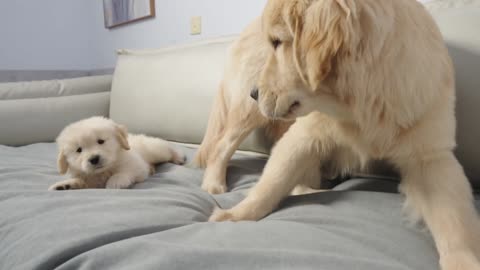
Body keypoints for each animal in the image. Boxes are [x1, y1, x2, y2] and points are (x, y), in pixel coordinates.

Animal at [48, 116, 184, 190]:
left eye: (101, 141)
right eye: (79, 150)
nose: (94, 159)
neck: (103, 171)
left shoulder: (137, 165)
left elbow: (125, 171)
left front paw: (115, 181)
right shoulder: (89, 180)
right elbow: (80, 181)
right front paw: (64, 185)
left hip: (156, 151)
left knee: (168, 149)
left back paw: (179, 157)